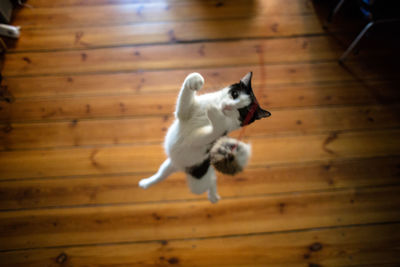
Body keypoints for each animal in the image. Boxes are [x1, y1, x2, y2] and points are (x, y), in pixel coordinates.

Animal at [138, 71, 272, 203]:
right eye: (235, 94)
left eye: (243, 111)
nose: (228, 106)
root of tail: (181, 168)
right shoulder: (185, 112)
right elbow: (184, 102)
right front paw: (195, 79)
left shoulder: (206, 137)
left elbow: (214, 129)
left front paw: (215, 112)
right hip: (170, 164)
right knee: (161, 175)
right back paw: (146, 183)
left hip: (198, 183)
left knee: (211, 180)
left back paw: (213, 196)